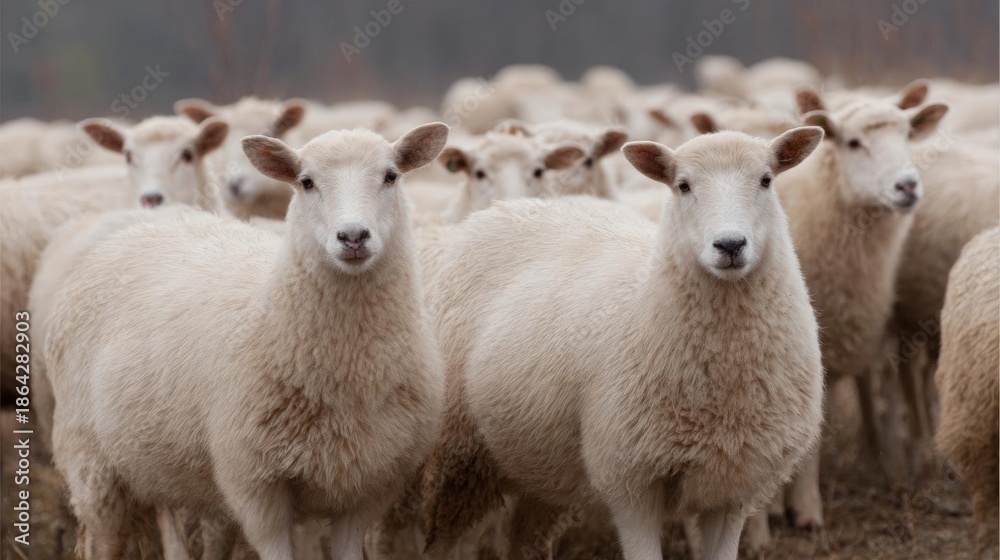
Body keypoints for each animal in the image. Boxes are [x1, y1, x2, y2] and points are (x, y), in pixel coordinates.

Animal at [37, 123, 448, 560]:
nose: (353, 236)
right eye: (306, 182)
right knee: (101, 538)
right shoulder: (256, 487)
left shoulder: (368, 486)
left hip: (160, 460)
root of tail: (148, 223)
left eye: (391, 176)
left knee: (170, 519)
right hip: (90, 461)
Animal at [420, 127, 826, 560]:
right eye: (683, 185)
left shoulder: (733, 486)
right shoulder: (630, 481)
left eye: (766, 180)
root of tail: (510, 207)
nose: (730, 245)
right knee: (444, 540)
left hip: (538, 463)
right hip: (460, 457)